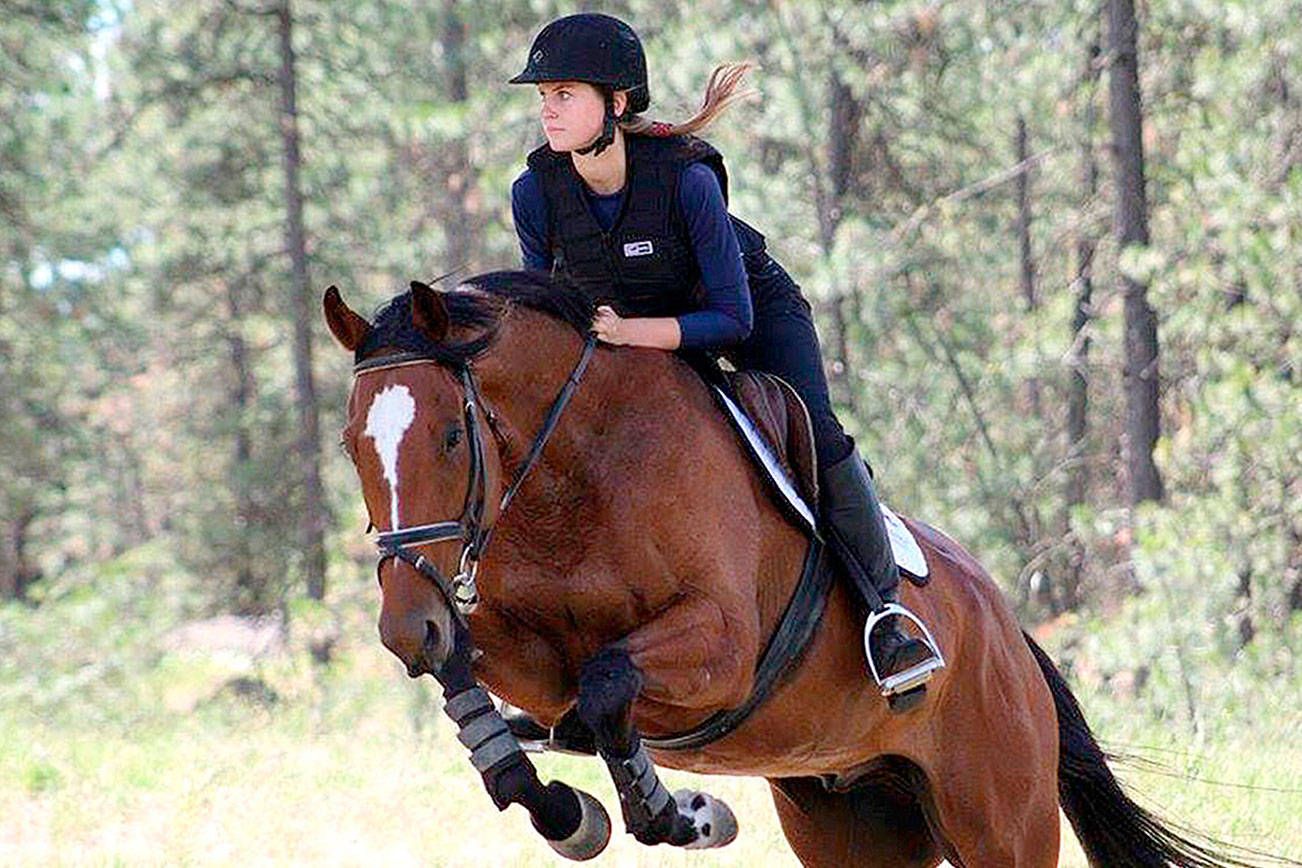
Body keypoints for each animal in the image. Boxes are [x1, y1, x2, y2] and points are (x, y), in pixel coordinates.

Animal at [323, 273, 1257, 867]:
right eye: (351, 444)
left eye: (451, 436)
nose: (404, 627)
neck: (572, 475)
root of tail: (1011, 636)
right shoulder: (523, 653)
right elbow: (492, 677)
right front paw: (566, 809)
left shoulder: (721, 648)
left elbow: (609, 682)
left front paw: (680, 815)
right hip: (855, 822)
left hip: (1000, 818)